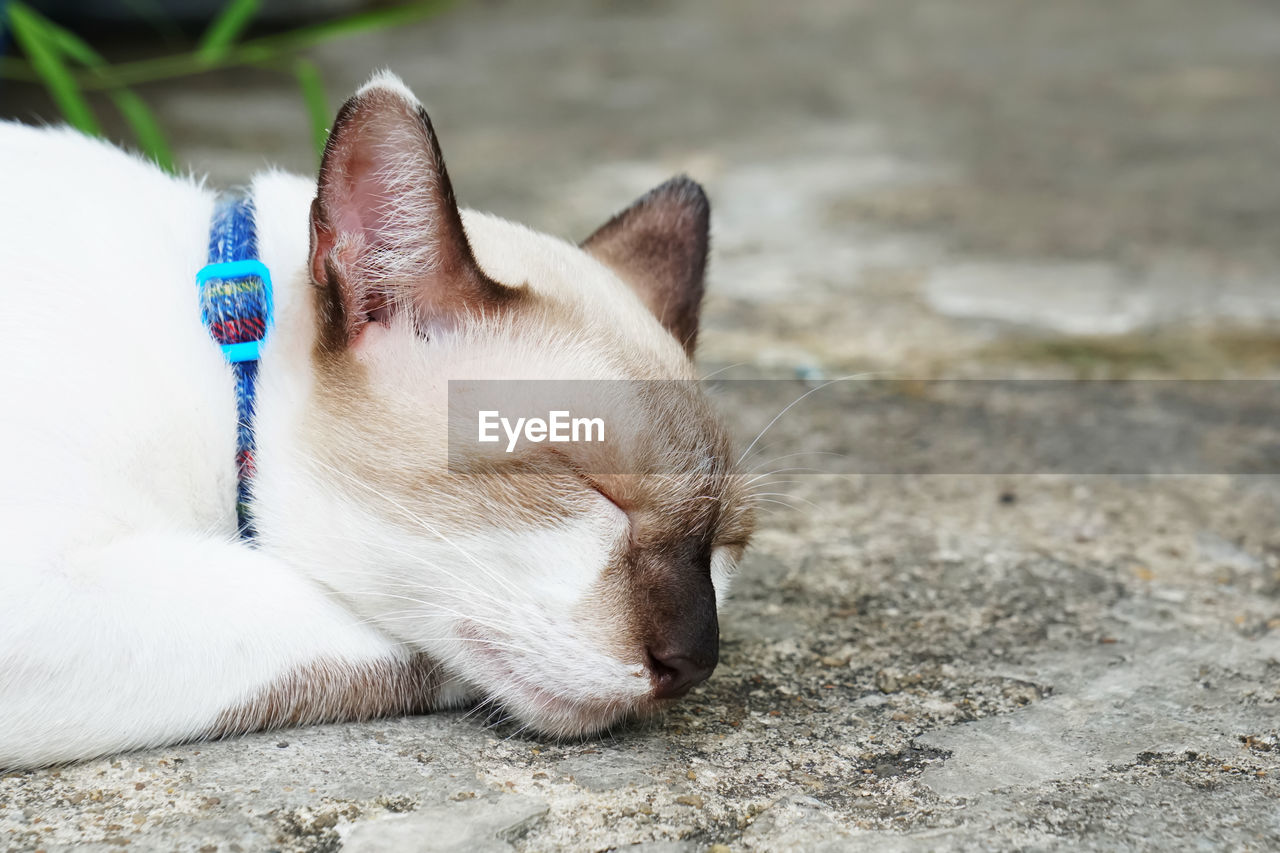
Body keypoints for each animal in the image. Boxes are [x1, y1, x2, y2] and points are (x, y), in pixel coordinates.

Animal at [0, 69, 747, 768]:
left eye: (728, 545)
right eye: (597, 493)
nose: (693, 663)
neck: (223, 357)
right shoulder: (44, 590)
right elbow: (389, 648)